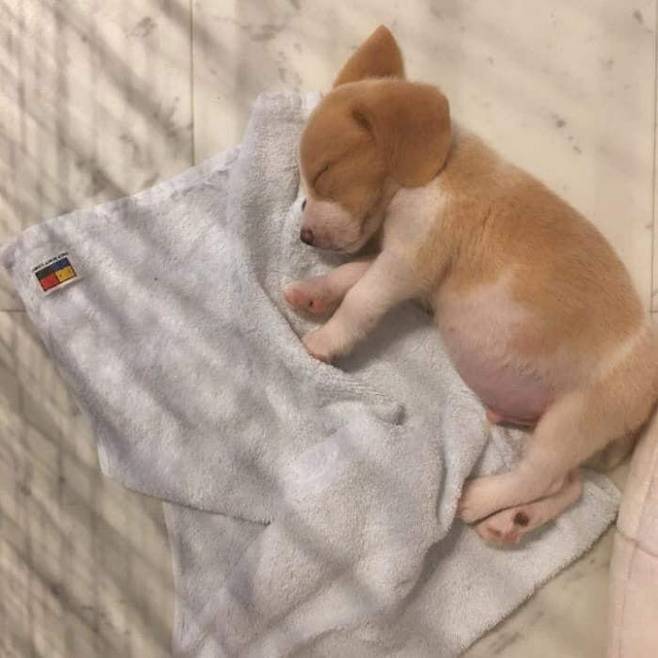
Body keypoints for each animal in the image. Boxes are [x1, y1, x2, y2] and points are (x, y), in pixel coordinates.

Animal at [284, 26, 658, 545]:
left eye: (324, 174)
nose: (305, 236)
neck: (434, 173)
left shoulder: (407, 261)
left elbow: (360, 298)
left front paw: (325, 340)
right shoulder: (404, 267)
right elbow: (351, 274)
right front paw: (313, 292)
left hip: (574, 421)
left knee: (539, 476)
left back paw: (480, 497)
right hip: (559, 430)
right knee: (569, 486)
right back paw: (513, 521)